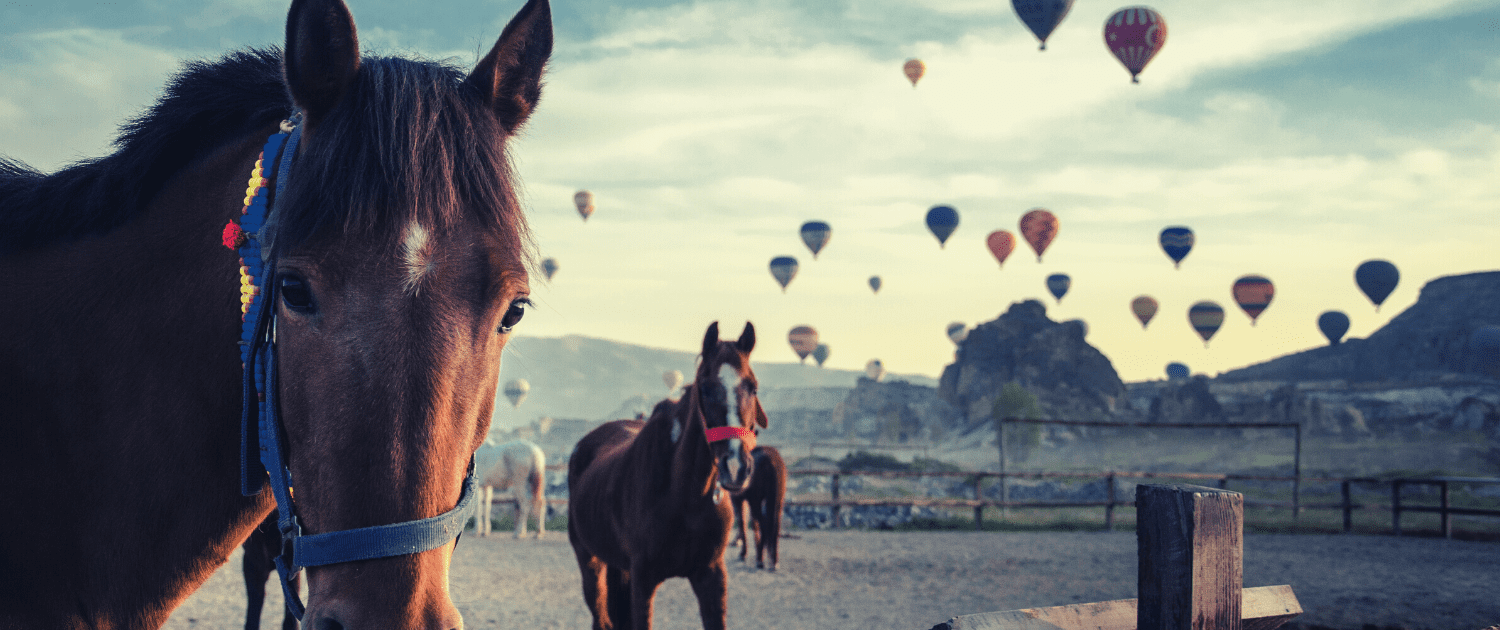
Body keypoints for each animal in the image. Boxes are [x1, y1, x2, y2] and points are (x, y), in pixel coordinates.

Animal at [567, 322, 768, 630]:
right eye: (706, 388)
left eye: (753, 387)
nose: (736, 467)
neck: (683, 496)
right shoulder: (643, 581)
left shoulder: (711, 576)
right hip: (589, 561)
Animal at [732, 444, 792, 573]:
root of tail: (772, 460)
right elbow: (753, 525)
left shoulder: (738, 499)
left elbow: (743, 523)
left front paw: (743, 553)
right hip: (777, 501)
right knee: (774, 526)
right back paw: (773, 560)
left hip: (756, 501)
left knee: (764, 524)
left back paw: (760, 559)